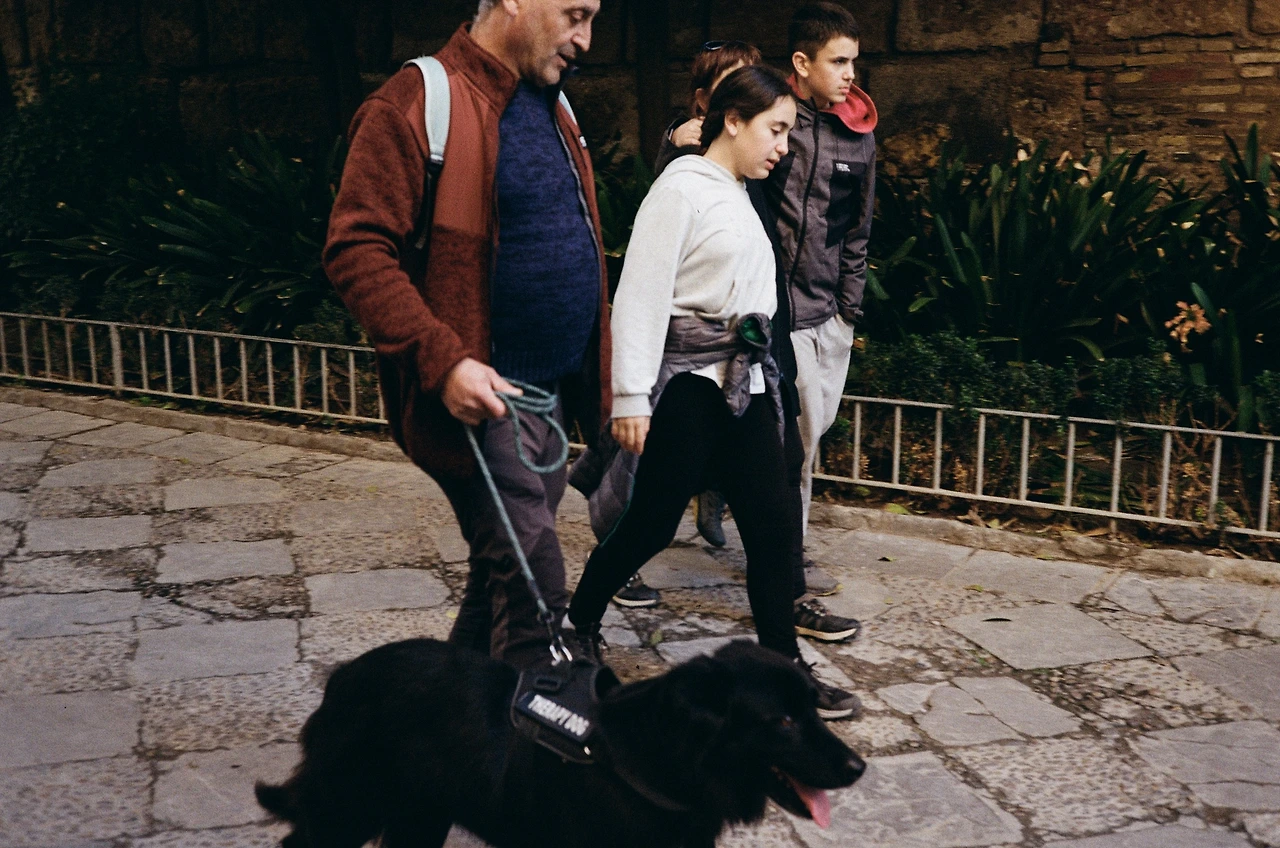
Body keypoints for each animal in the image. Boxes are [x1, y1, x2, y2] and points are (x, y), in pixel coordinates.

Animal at [256, 638, 864, 848]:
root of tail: (341, 677)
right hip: (348, 810)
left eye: (813, 706)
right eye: (782, 720)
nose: (859, 767)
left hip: (419, 816)